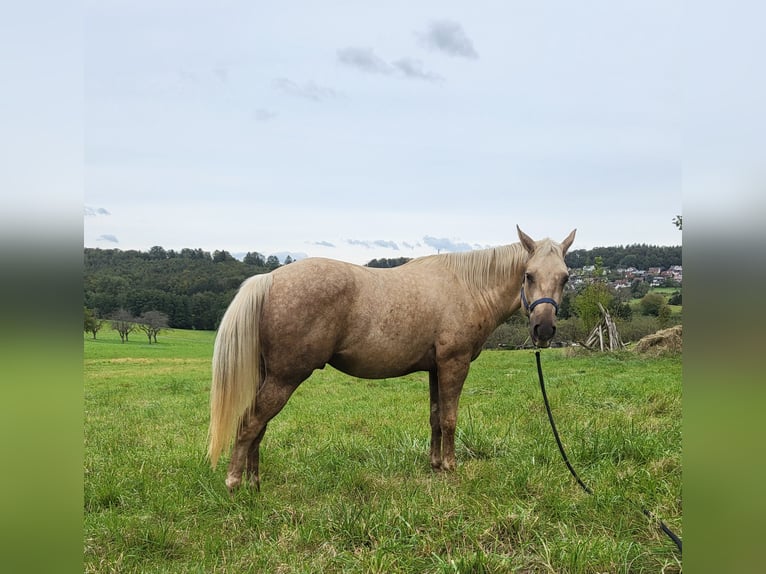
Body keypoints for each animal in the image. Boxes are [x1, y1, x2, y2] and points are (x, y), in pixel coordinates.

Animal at [208, 225, 576, 490]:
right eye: (528, 275)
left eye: (565, 277)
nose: (544, 329)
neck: (466, 287)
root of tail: (269, 279)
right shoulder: (453, 364)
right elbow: (450, 418)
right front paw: (451, 469)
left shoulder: (435, 369)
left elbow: (435, 418)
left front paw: (435, 466)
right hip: (285, 377)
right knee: (250, 423)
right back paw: (234, 483)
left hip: (270, 376)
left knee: (258, 426)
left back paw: (255, 484)